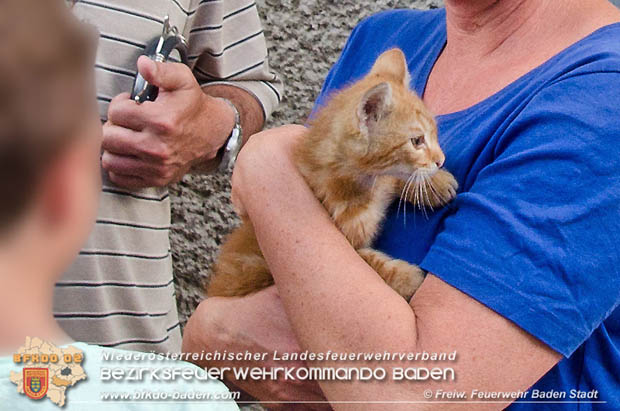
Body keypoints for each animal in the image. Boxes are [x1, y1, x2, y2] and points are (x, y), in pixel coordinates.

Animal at [207, 49, 456, 300]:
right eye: (417, 141)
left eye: (433, 133)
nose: (441, 160)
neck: (367, 187)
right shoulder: (347, 240)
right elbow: (367, 261)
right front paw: (407, 277)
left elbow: (396, 177)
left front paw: (436, 183)